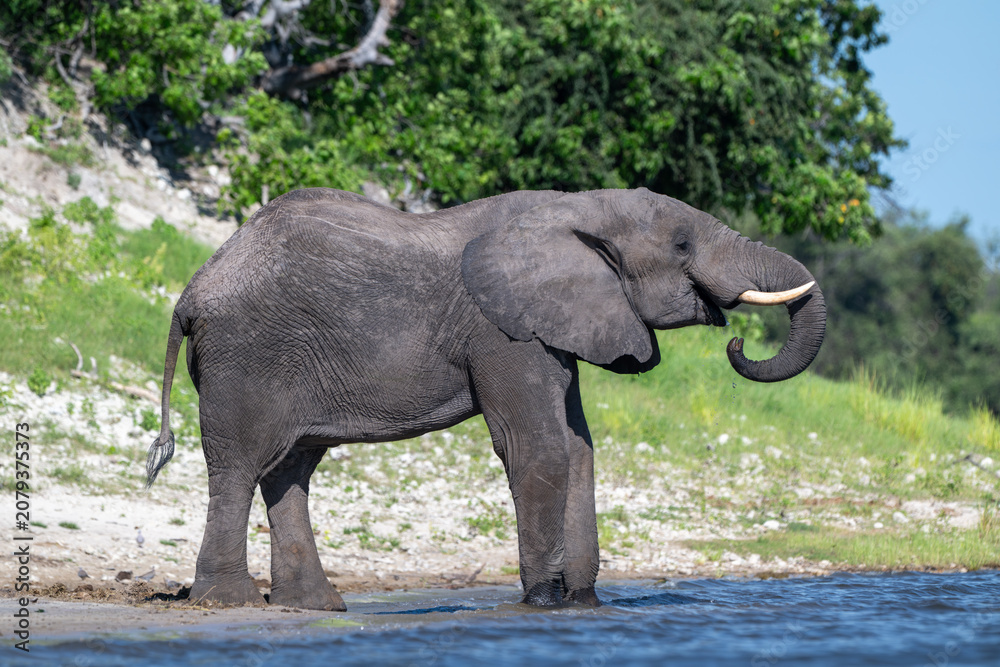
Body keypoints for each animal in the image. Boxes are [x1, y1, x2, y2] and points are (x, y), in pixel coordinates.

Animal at [145, 187, 824, 610]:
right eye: (682, 246)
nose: (737, 341)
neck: (577, 208)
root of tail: (192, 289)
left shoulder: (555, 325)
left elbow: (579, 450)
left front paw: (585, 604)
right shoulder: (502, 331)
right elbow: (539, 449)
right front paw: (543, 604)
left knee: (290, 469)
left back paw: (314, 606)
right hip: (245, 356)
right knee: (239, 465)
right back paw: (227, 601)